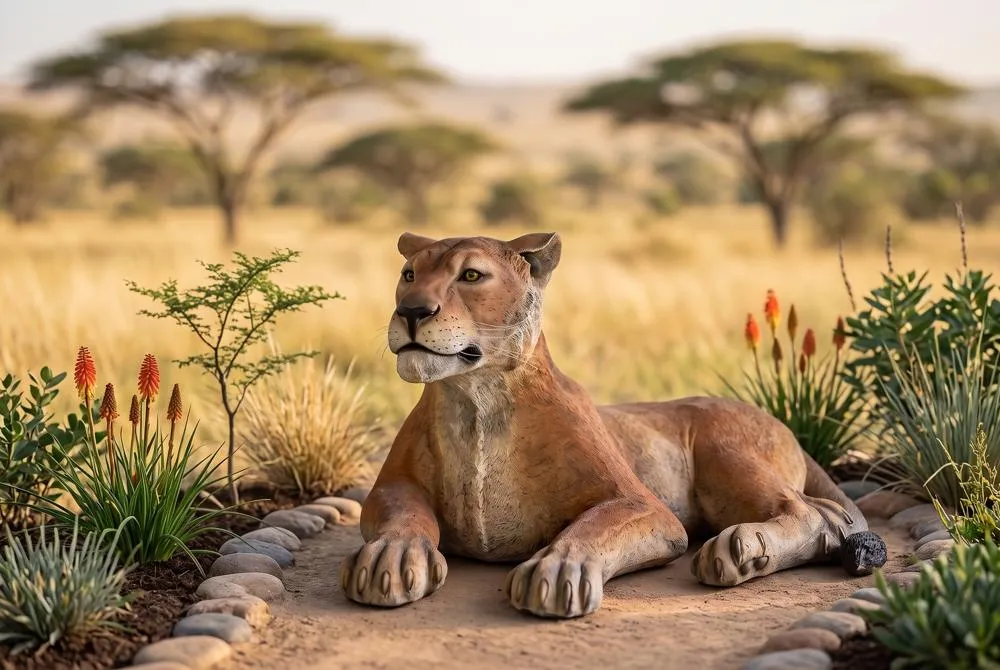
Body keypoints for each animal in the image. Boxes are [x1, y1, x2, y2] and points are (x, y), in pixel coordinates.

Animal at [339, 231, 887, 619]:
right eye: (409, 273)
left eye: (471, 275)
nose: (410, 311)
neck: (475, 399)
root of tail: (779, 421)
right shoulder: (391, 486)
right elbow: (405, 515)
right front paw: (390, 558)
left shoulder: (644, 506)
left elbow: (593, 525)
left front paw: (557, 569)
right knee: (830, 515)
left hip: (723, 453)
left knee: (807, 512)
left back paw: (741, 548)